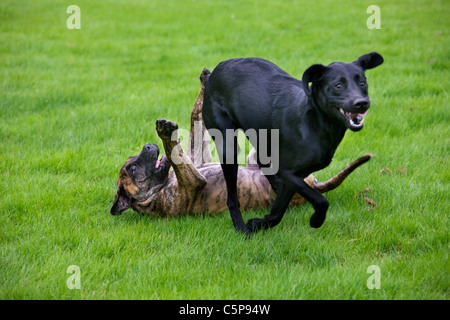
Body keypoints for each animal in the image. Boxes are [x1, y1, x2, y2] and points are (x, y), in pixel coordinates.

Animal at [110, 70, 370, 218]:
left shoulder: (197, 157)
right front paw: (165, 134)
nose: (147, 146)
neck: (157, 191)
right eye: (132, 168)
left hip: (256, 155)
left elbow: (196, 121)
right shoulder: (193, 180)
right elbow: (176, 152)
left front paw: (205, 80)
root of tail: (315, 187)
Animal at [203, 52, 384, 235]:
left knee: (263, 163)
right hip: (228, 146)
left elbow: (278, 211)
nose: (361, 103)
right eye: (338, 85)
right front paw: (316, 220)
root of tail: (216, 71)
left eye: (362, 83)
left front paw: (259, 223)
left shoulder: (293, 176)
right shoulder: (287, 172)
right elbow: (321, 200)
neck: (314, 123)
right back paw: (240, 228)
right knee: (232, 198)